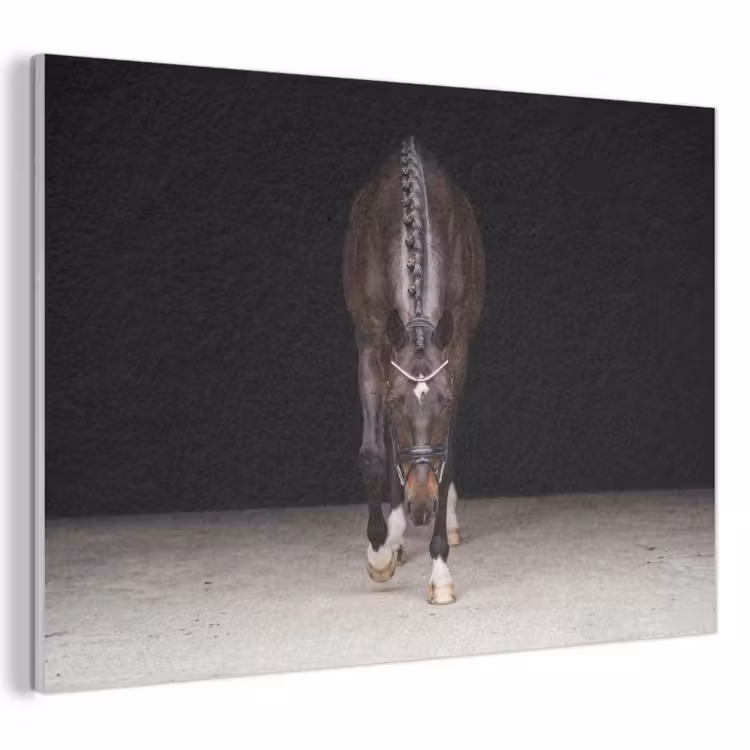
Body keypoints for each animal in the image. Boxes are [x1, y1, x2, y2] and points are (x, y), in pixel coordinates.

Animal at [343, 136, 485, 604]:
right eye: (394, 402)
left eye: (444, 402)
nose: (421, 506)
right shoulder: (372, 346)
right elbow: (373, 453)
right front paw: (380, 553)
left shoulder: (457, 351)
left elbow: (447, 456)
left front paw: (440, 570)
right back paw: (396, 532)